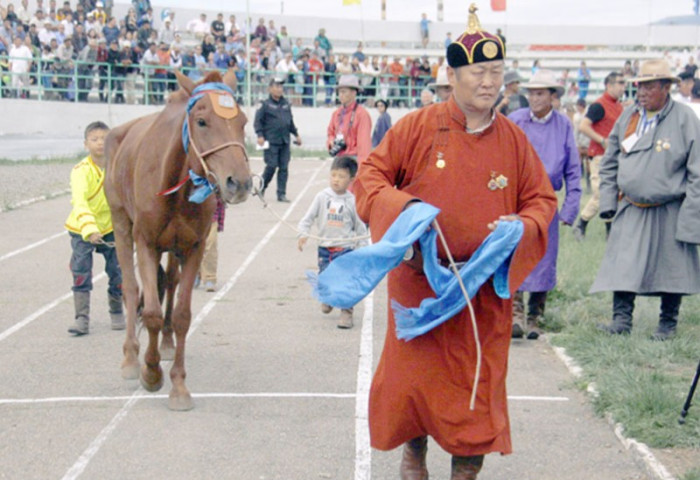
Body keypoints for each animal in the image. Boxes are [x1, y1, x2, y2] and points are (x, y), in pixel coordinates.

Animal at [105, 70, 253, 408]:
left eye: (243, 121)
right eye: (202, 121)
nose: (239, 182)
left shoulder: (193, 246)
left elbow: (183, 314)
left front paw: (179, 385)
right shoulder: (145, 242)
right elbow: (150, 312)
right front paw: (150, 372)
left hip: (172, 247)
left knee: (170, 283)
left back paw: (167, 343)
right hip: (121, 224)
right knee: (130, 288)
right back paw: (130, 357)